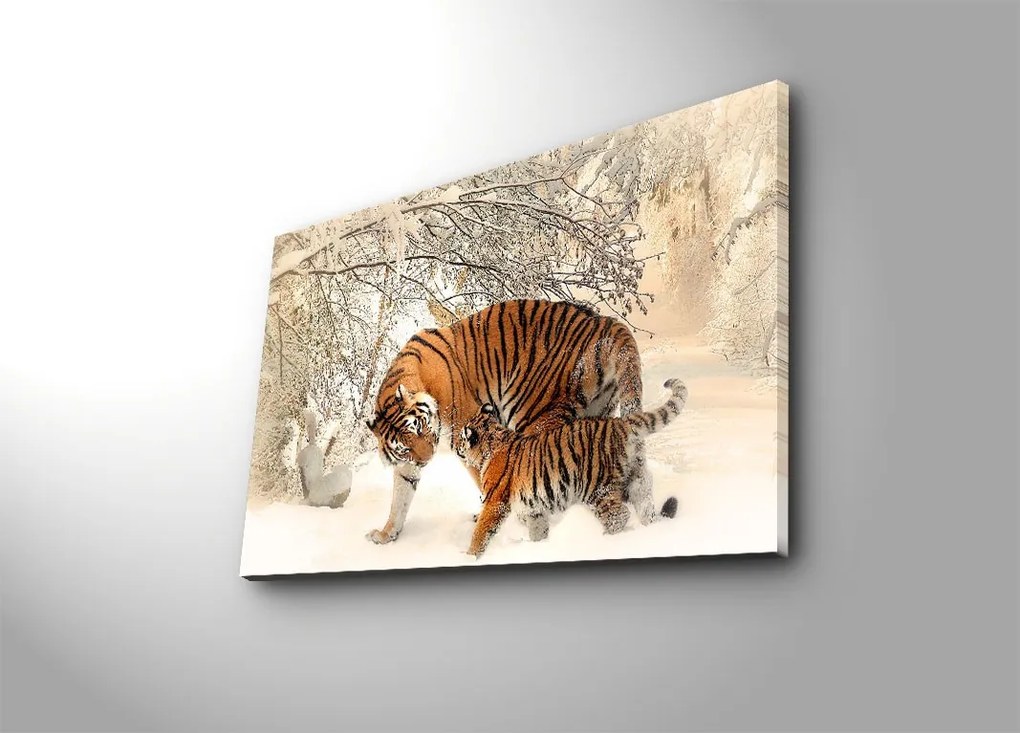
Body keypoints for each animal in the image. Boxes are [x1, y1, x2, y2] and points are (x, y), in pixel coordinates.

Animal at [364, 299, 645, 544]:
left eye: (420, 428)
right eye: (404, 447)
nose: (426, 459)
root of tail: (606, 322)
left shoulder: (467, 435)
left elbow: (486, 480)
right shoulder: (407, 464)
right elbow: (400, 497)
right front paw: (386, 534)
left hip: (534, 414)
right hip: (597, 413)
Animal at [454, 379, 689, 558]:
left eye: (461, 439)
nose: (455, 447)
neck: (493, 439)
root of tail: (620, 424)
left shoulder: (495, 502)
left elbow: (481, 531)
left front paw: (470, 557)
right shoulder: (534, 508)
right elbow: (538, 529)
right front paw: (538, 547)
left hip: (596, 488)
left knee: (619, 515)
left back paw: (606, 541)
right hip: (636, 480)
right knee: (645, 506)